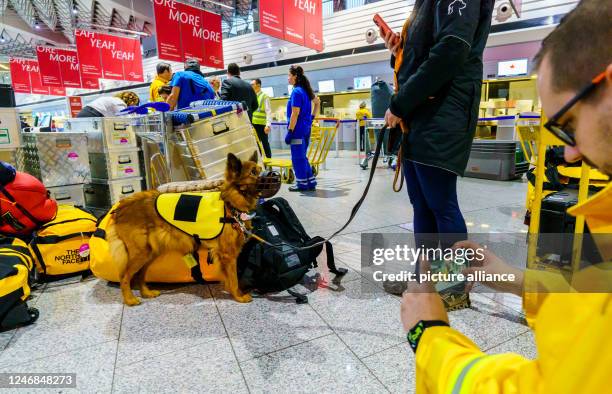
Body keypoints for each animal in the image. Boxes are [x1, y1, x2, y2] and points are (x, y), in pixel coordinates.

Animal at [107, 150, 260, 304]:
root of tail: (121, 208)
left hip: (150, 253)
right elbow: (233, 279)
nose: (269, 176)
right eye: (253, 172)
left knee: (140, 274)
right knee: (124, 275)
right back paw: (129, 299)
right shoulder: (228, 254)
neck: (230, 204)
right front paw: (238, 296)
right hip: (141, 253)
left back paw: (146, 292)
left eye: (259, 170)